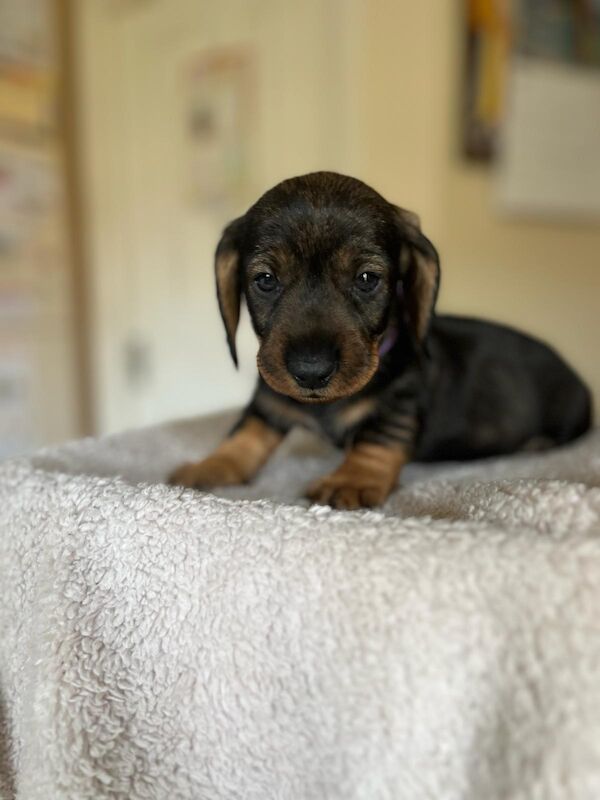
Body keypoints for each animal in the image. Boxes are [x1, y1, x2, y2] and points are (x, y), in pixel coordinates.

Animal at [168, 172, 592, 510]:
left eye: (367, 278)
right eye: (265, 279)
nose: (310, 371)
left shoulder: (400, 402)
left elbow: (377, 439)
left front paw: (351, 479)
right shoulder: (270, 399)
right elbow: (246, 432)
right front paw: (212, 464)